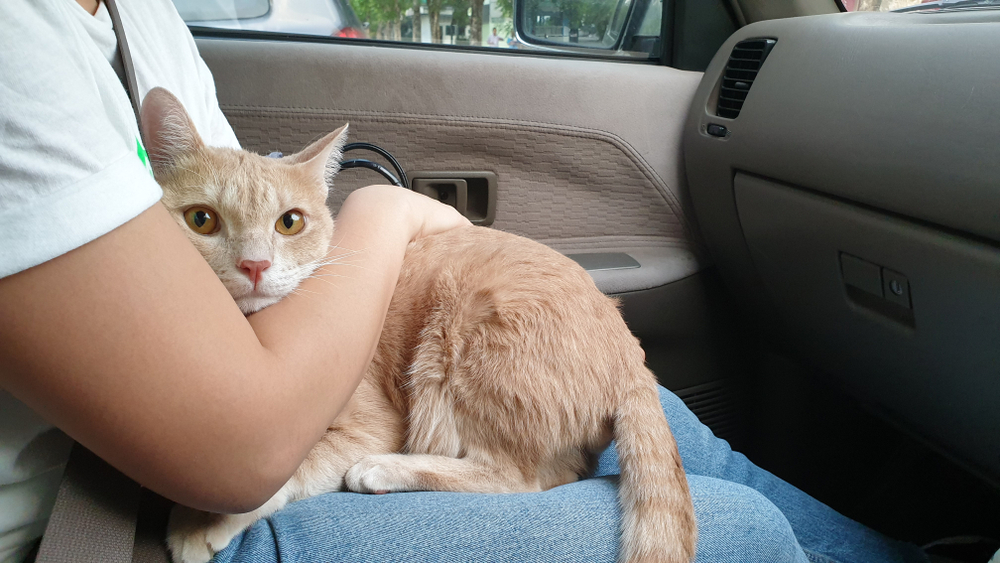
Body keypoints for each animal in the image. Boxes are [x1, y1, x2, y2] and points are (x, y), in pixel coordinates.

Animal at [143, 87, 696, 563]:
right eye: (201, 219)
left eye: (289, 223)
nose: (255, 265)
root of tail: (632, 356)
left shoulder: (372, 425)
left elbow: (292, 466)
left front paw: (201, 521)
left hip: (462, 334)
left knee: (516, 478)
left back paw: (387, 468)